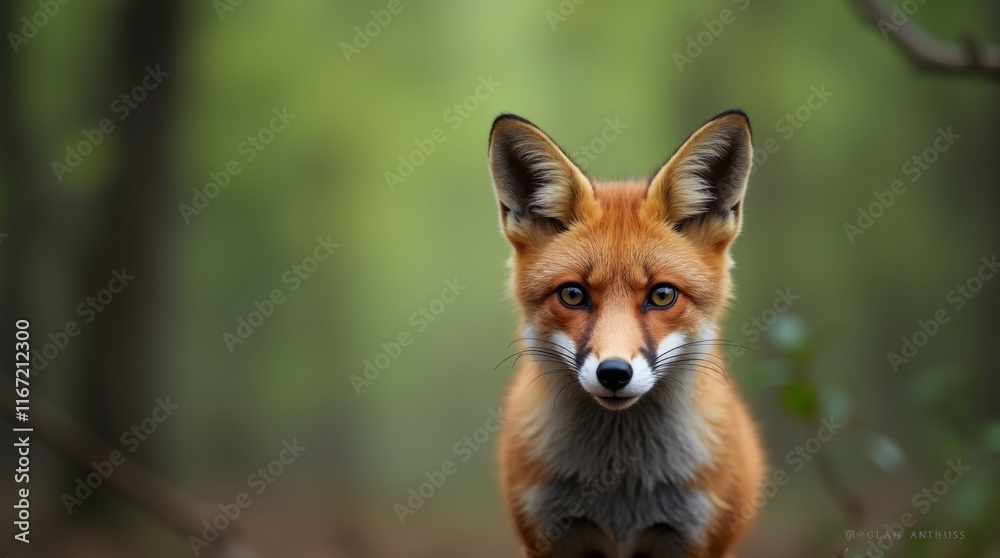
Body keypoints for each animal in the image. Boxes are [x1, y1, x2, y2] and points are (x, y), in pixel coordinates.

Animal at [487, 110, 765, 558]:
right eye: (573, 294)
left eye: (663, 295)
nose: (614, 374)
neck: (621, 488)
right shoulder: (549, 537)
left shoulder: (693, 540)